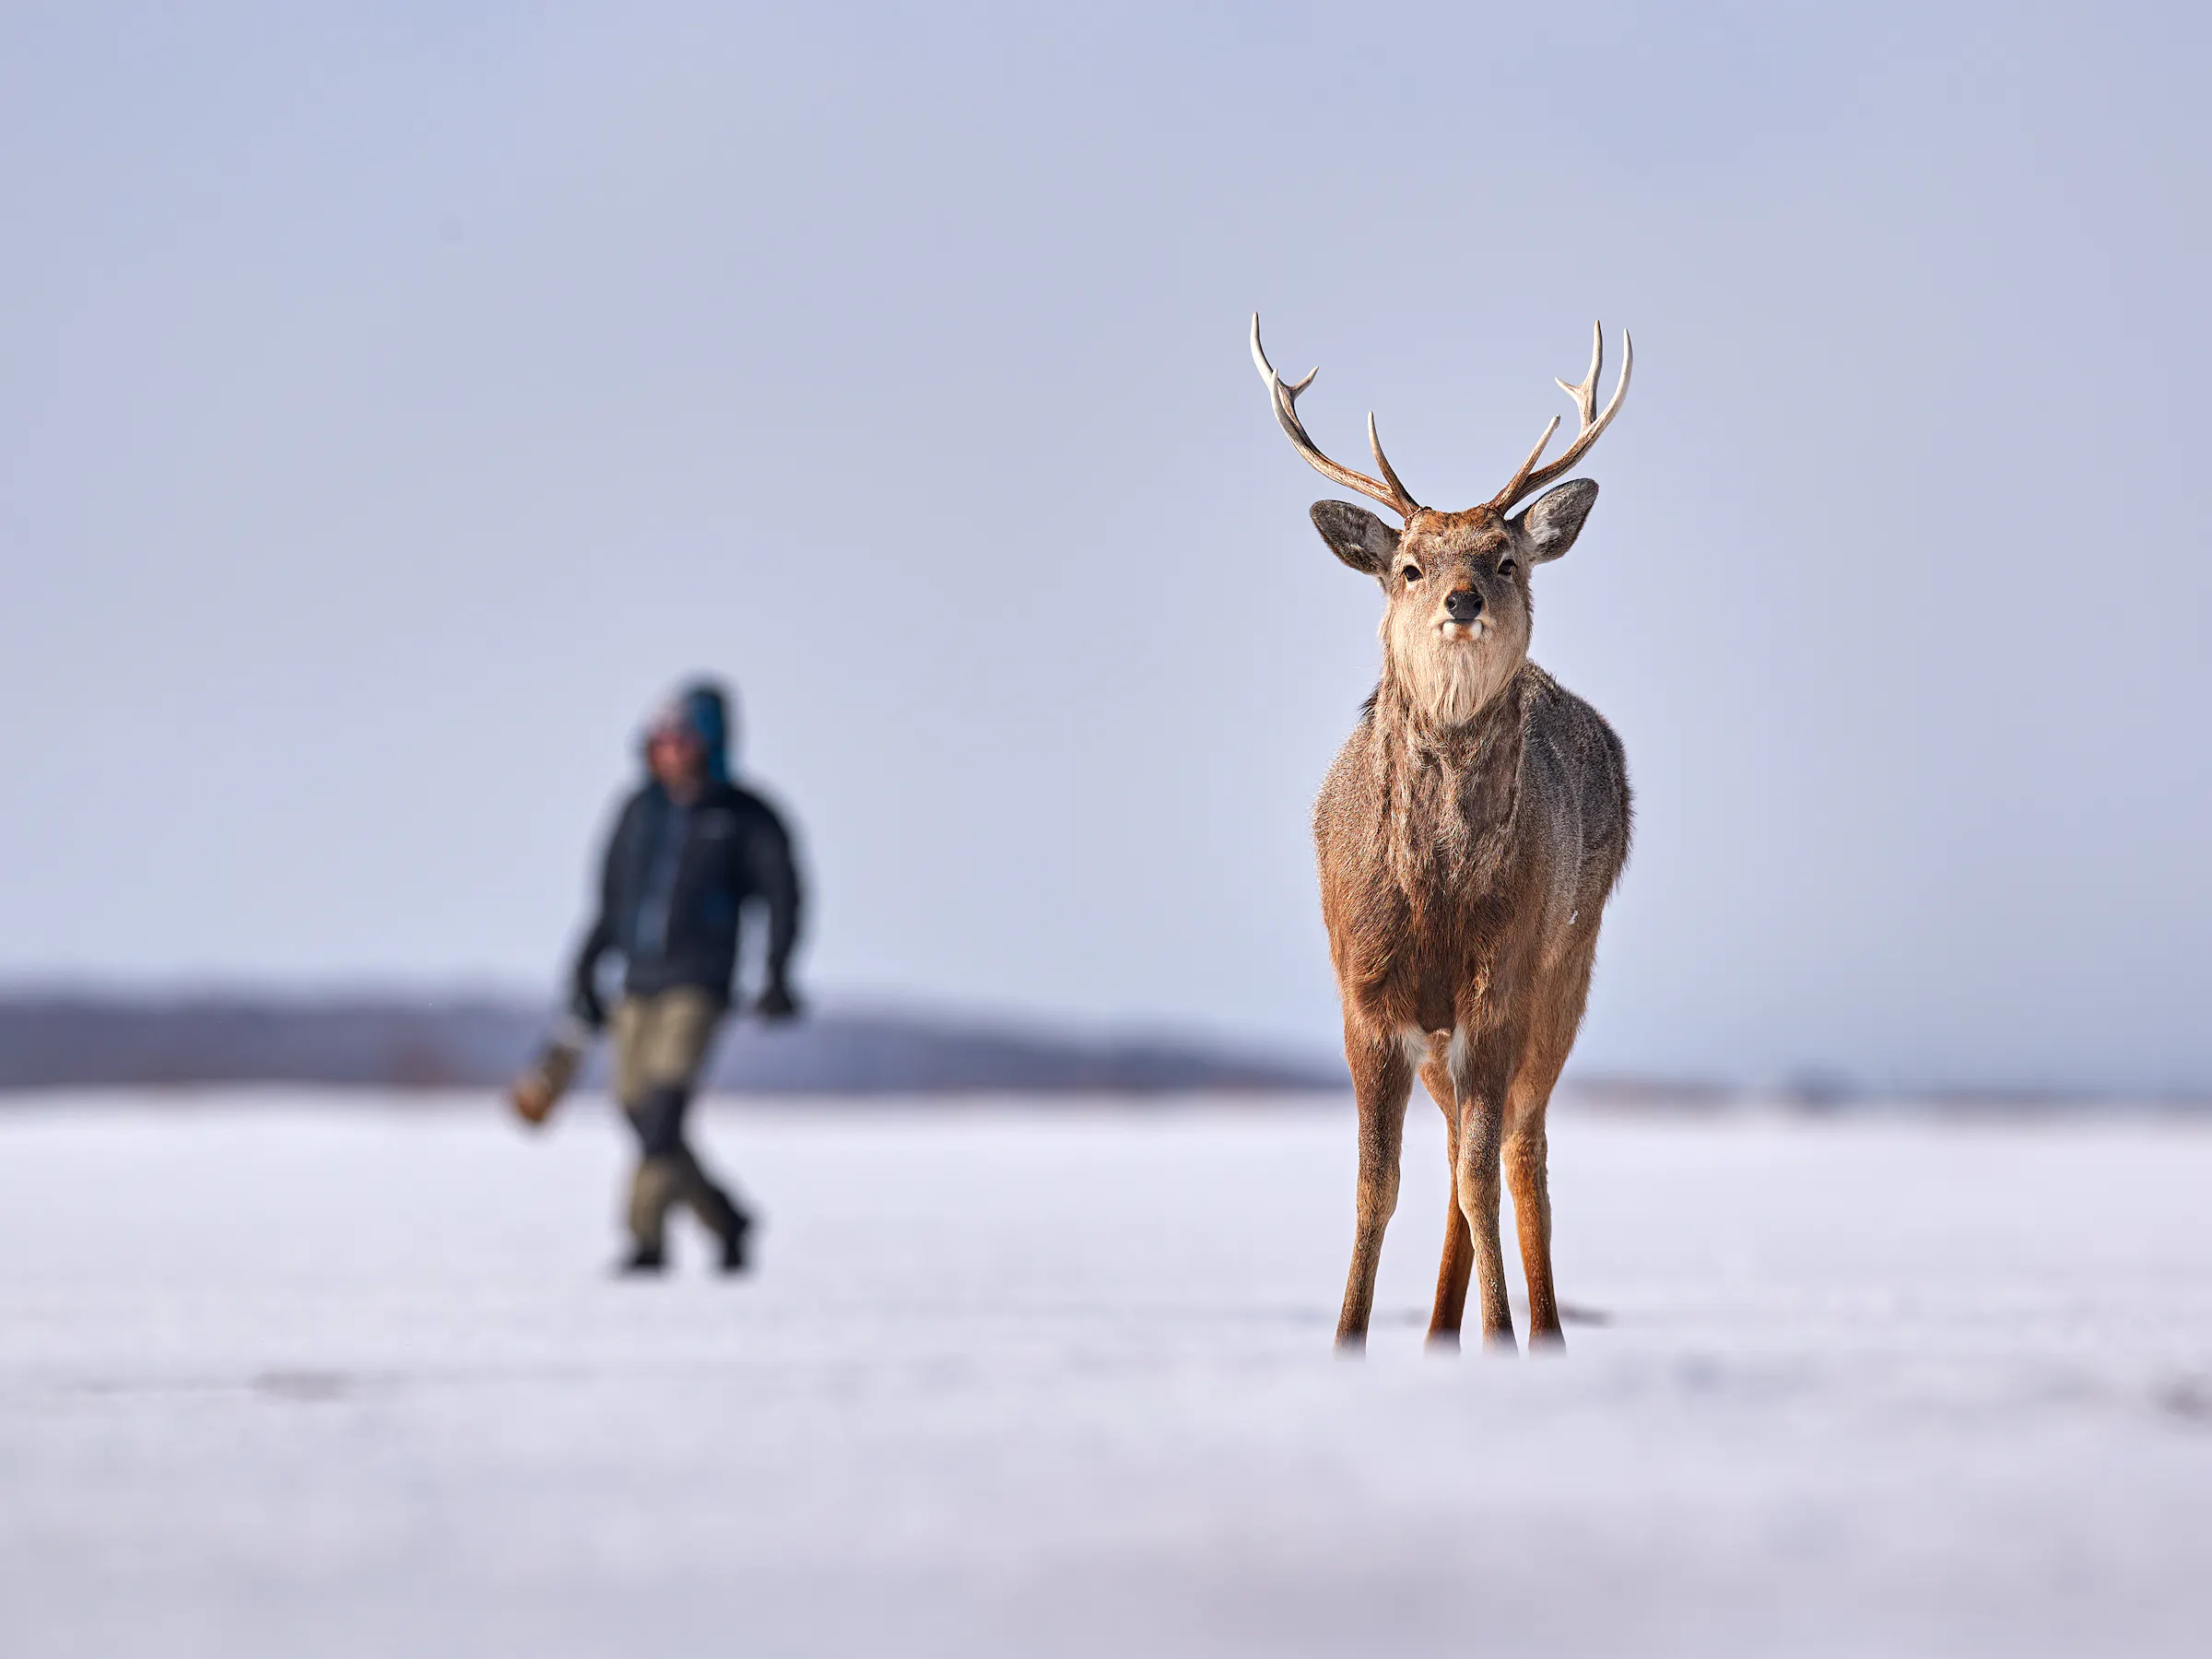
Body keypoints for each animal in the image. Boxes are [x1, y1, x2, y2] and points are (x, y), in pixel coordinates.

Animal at [1250, 315, 1634, 1355]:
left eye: (1506, 558)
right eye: (1409, 566)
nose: (1463, 599)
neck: (1437, 897)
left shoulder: (1499, 985)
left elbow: (1477, 1176)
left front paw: (1502, 1334)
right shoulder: (1367, 995)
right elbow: (1376, 1185)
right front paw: (1348, 1339)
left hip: (1567, 968)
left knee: (1518, 1149)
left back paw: (1540, 1332)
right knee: (1475, 1147)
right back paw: (1435, 1331)